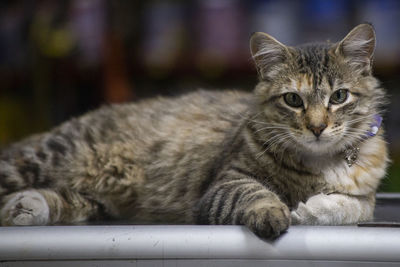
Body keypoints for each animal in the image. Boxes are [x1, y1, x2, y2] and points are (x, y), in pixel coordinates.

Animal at [0, 24, 390, 239]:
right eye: (293, 99)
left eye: (339, 97)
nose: (318, 127)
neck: (317, 161)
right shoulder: (225, 183)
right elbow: (256, 194)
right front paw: (274, 213)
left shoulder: (366, 194)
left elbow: (354, 208)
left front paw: (311, 210)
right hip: (43, 158)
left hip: (96, 198)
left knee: (61, 199)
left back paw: (24, 208)